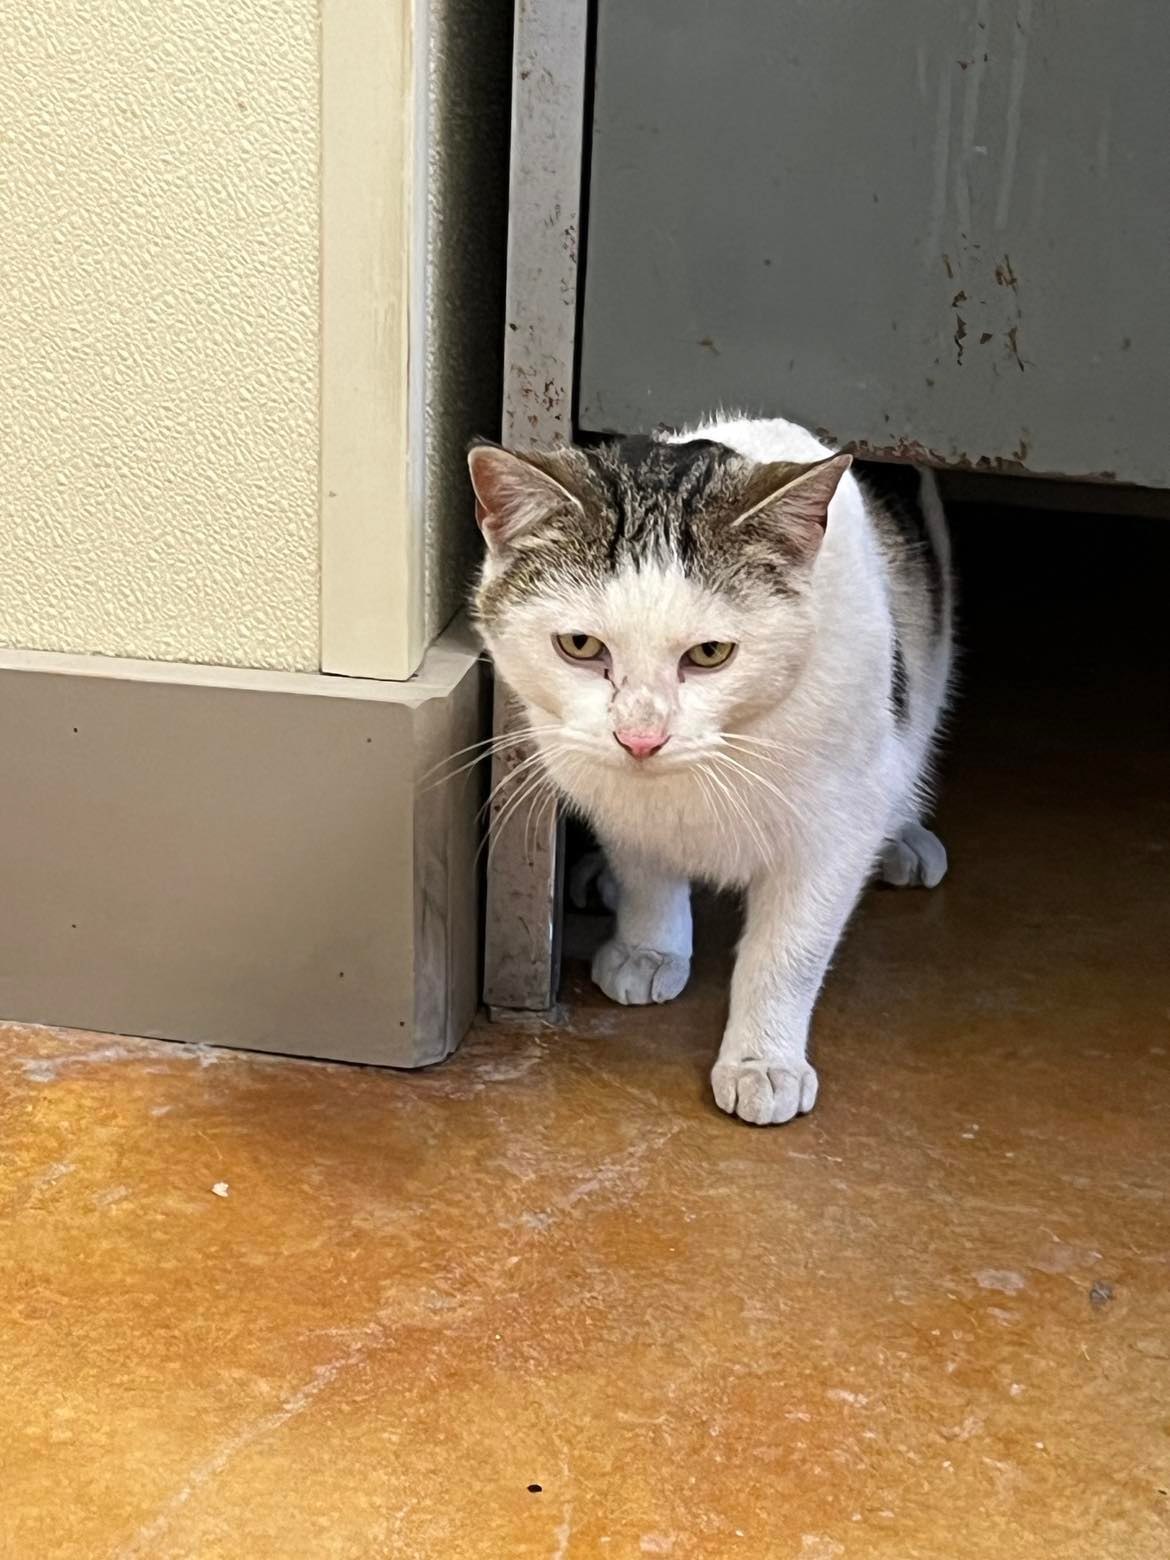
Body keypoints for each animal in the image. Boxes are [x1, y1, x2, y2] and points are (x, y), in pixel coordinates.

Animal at [467, 414, 954, 1123]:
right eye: (580, 645)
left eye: (710, 654)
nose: (640, 737)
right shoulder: (608, 789)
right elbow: (646, 872)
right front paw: (649, 946)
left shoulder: (835, 829)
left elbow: (790, 950)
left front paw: (763, 1060)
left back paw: (906, 839)